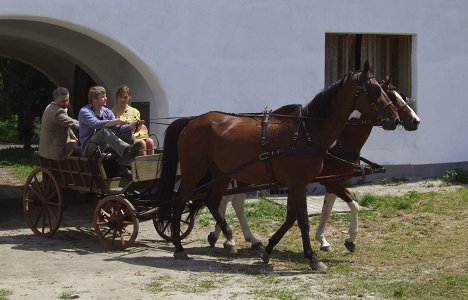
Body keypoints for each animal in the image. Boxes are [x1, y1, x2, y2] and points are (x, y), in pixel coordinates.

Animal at [156, 61, 398, 272]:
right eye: (374, 91)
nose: (394, 119)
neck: (307, 132)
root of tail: (192, 120)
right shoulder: (300, 182)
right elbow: (302, 220)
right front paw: (313, 258)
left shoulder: (297, 183)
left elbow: (292, 217)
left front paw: (269, 248)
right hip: (194, 171)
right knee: (180, 202)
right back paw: (179, 246)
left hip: (221, 173)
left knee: (213, 201)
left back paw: (232, 239)